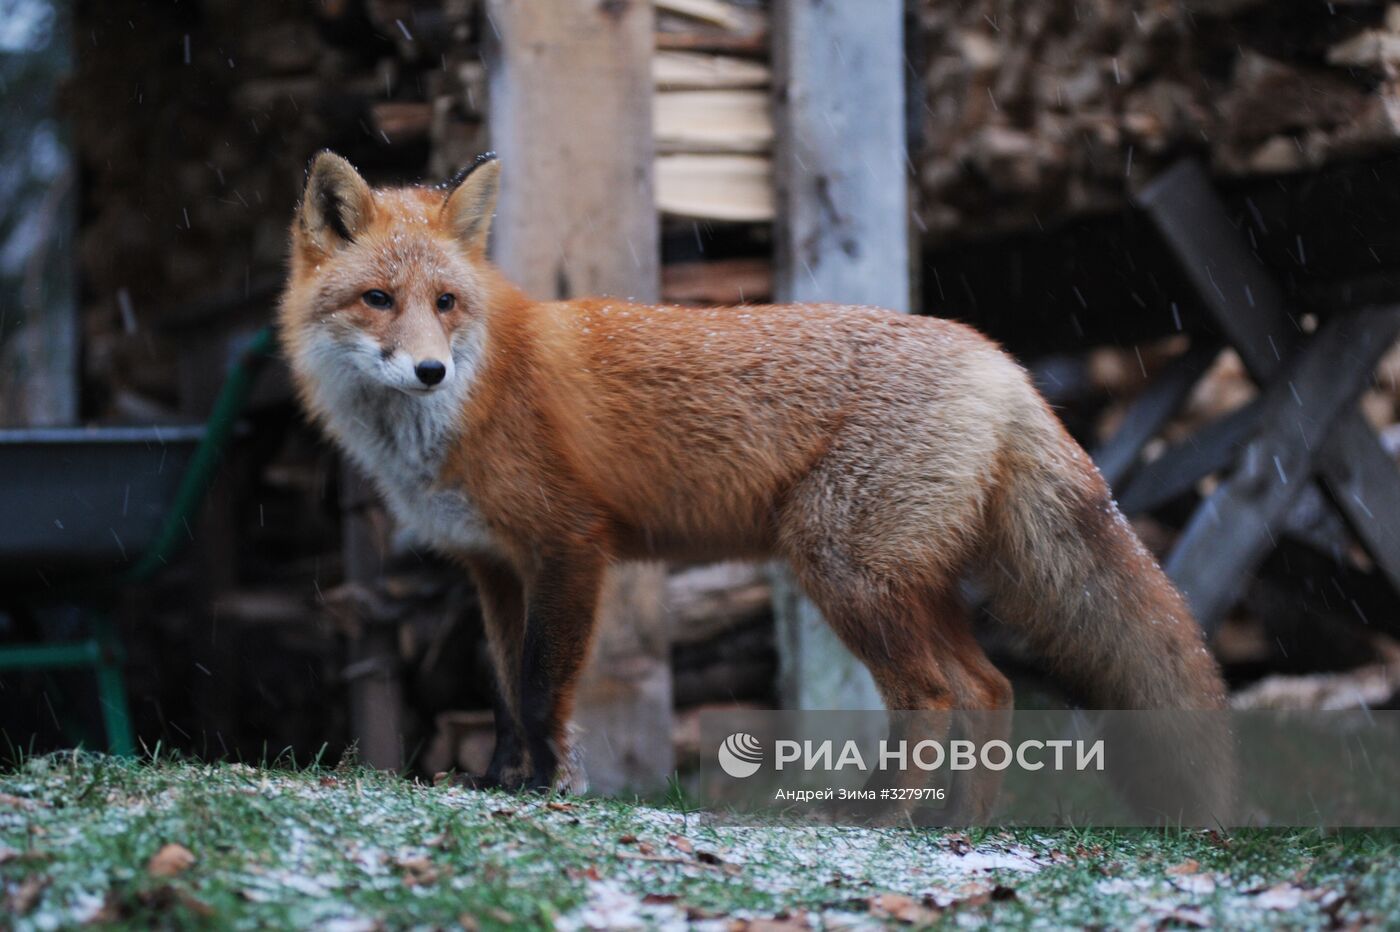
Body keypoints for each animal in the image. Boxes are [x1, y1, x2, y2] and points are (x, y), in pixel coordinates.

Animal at [275, 152, 1226, 789]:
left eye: (445, 304)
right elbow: (507, 690)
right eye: (377, 301)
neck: (464, 405)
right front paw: (498, 784)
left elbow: (544, 688)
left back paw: (879, 822)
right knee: (989, 690)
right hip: (906, 580)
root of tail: (997, 358)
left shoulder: (569, 544)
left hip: (841, 568)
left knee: (932, 699)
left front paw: (546, 788)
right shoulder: (494, 565)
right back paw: (957, 836)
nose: (430, 370)